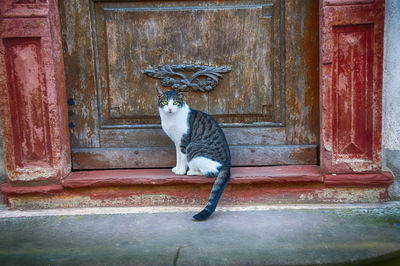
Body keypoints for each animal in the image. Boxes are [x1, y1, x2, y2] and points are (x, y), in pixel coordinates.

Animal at [157, 88, 231, 221]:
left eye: (175, 103)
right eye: (165, 102)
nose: (170, 108)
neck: (170, 119)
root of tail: (227, 164)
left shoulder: (184, 142)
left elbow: (182, 158)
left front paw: (181, 171)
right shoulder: (177, 142)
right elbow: (178, 157)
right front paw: (176, 168)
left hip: (193, 148)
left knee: (210, 172)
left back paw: (191, 172)